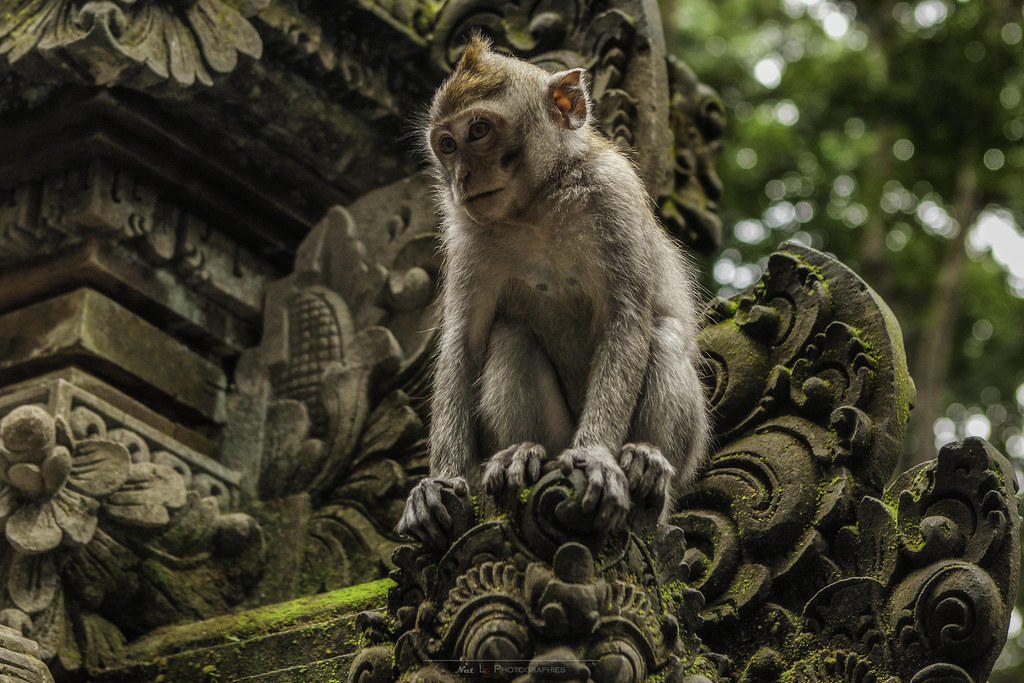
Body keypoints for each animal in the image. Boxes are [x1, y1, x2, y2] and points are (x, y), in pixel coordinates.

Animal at [396, 35, 710, 549]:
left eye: (478, 130)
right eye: (447, 145)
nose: (461, 178)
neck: (537, 204)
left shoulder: (611, 194)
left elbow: (628, 318)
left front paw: (597, 457)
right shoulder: (467, 236)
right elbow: (464, 340)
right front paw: (438, 483)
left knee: (662, 335)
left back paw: (647, 467)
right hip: (558, 435)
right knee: (511, 335)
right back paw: (521, 455)